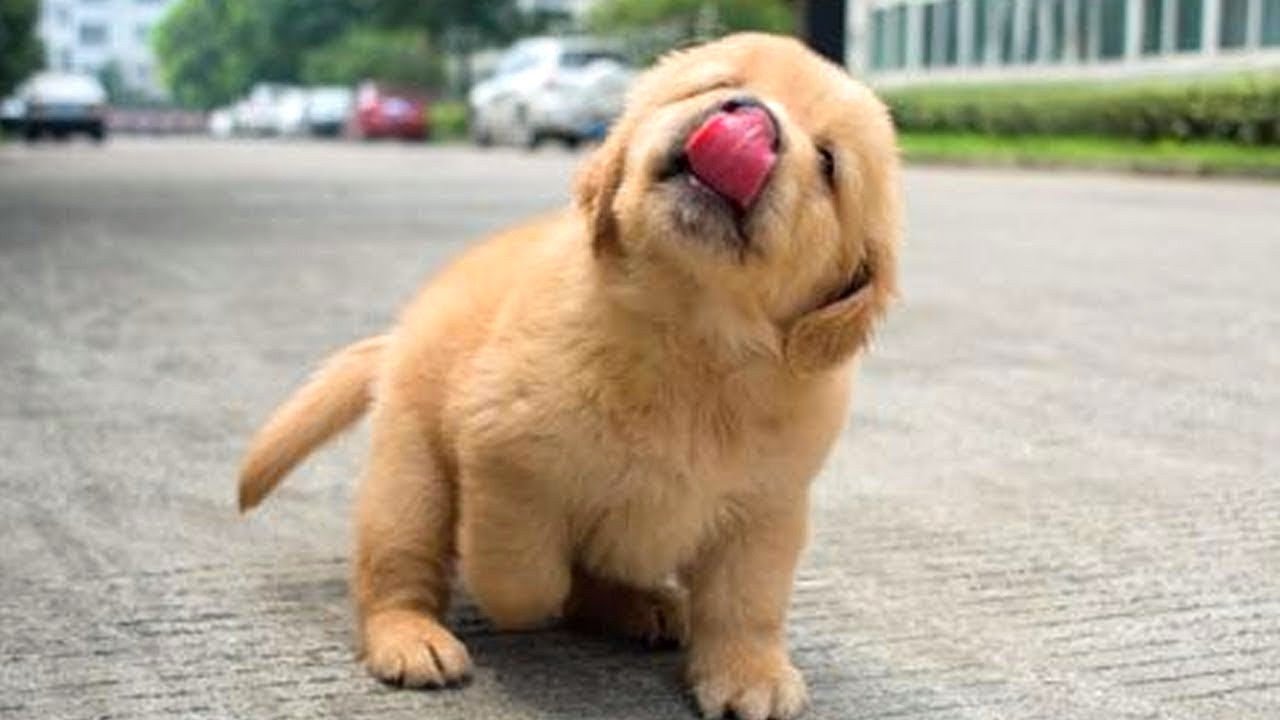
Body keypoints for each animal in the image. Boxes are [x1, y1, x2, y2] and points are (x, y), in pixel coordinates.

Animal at [240, 33, 901, 717]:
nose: (751, 117)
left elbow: (748, 601)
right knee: (397, 574)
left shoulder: (767, 509)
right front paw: (515, 601)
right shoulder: (507, 462)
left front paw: (750, 672)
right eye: (717, 85)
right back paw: (412, 638)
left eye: (828, 162)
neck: (692, 341)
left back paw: (644, 605)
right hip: (408, 485)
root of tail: (403, 333)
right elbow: (520, 570)